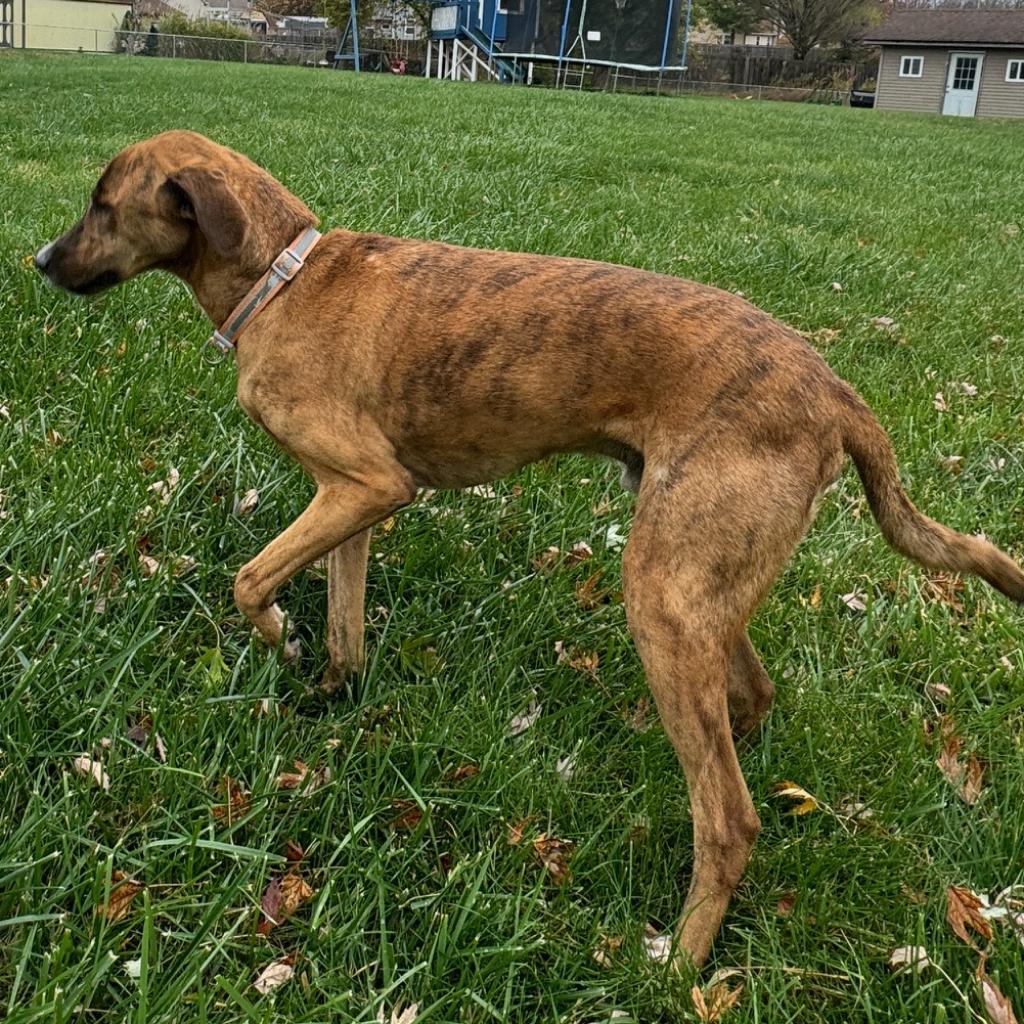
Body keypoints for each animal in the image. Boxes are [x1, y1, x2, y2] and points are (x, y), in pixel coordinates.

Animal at [34, 130, 1024, 966]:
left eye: (101, 204)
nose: (40, 261)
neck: (282, 279)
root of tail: (836, 391)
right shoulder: (351, 502)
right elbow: (346, 618)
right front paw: (331, 690)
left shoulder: (365, 485)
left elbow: (249, 581)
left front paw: (280, 637)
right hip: (693, 581)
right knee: (748, 700)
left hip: (662, 590)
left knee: (730, 818)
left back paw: (680, 964)